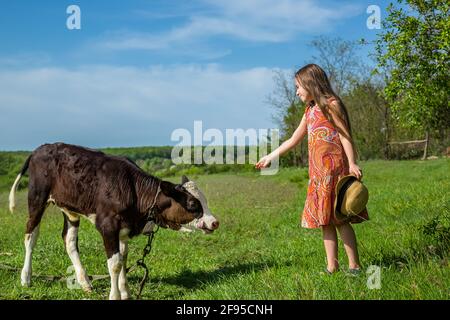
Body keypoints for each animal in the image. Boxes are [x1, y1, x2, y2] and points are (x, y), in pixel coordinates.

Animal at [8, 144, 209, 298]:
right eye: (192, 203)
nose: (213, 222)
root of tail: (40, 149)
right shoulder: (108, 226)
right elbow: (115, 263)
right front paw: (115, 295)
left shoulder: (124, 228)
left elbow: (123, 257)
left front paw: (125, 292)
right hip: (37, 197)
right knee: (31, 235)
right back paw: (26, 277)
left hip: (70, 209)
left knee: (69, 240)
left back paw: (85, 282)